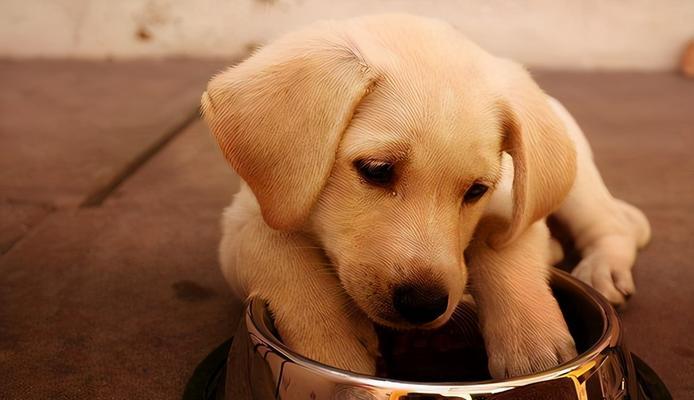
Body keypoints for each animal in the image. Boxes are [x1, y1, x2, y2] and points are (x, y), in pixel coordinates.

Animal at [201, 14, 652, 378]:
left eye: (476, 190)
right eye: (377, 170)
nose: (424, 304)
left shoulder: (511, 206)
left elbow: (501, 247)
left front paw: (532, 341)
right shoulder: (249, 218)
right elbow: (281, 255)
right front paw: (335, 343)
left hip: (576, 185)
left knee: (610, 226)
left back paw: (604, 268)